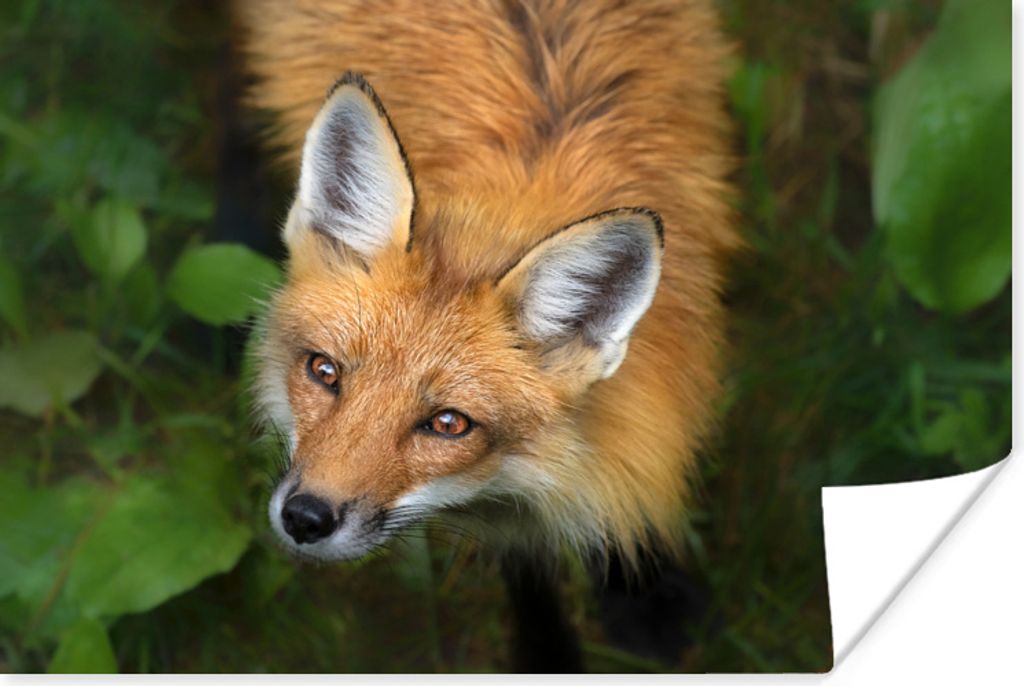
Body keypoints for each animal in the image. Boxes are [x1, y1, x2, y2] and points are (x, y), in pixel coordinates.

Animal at [234, 0, 739, 671]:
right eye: (324, 371)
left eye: (449, 423)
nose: (305, 519)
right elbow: (527, 571)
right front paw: (547, 652)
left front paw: (642, 592)